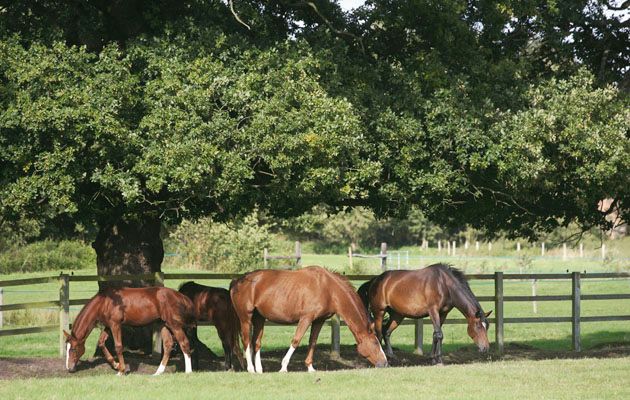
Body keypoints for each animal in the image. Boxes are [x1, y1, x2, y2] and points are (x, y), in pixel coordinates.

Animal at [64, 288, 196, 376]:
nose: (69, 368)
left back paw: (188, 372)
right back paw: (158, 372)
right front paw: (116, 365)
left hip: (174, 325)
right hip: (163, 325)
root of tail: (181, 296)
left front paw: (121, 371)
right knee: (168, 345)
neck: (105, 302)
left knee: (184, 343)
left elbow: (118, 346)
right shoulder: (108, 326)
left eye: (73, 349)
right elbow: (101, 343)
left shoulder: (116, 325)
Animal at [232, 264, 390, 374]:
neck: (329, 289)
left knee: (256, 342)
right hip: (245, 318)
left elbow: (312, 342)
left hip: (259, 318)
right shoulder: (306, 318)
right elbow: (296, 340)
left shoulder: (319, 320)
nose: (385, 363)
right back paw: (251, 369)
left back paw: (259, 369)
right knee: (246, 341)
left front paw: (310, 367)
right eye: (375, 343)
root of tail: (237, 281)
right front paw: (283, 367)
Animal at [360, 264, 494, 364]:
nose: (486, 348)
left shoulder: (443, 313)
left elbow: (436, 334)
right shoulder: (433, 310)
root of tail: (375, 280)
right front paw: (438, 359)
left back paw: (391, 355)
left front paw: (432, 358)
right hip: (379, 312)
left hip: (398, 315)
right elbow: (439, 334)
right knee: (378, 333)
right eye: (478, 326)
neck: (444, 284)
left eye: (487, 327)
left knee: (386, 332)